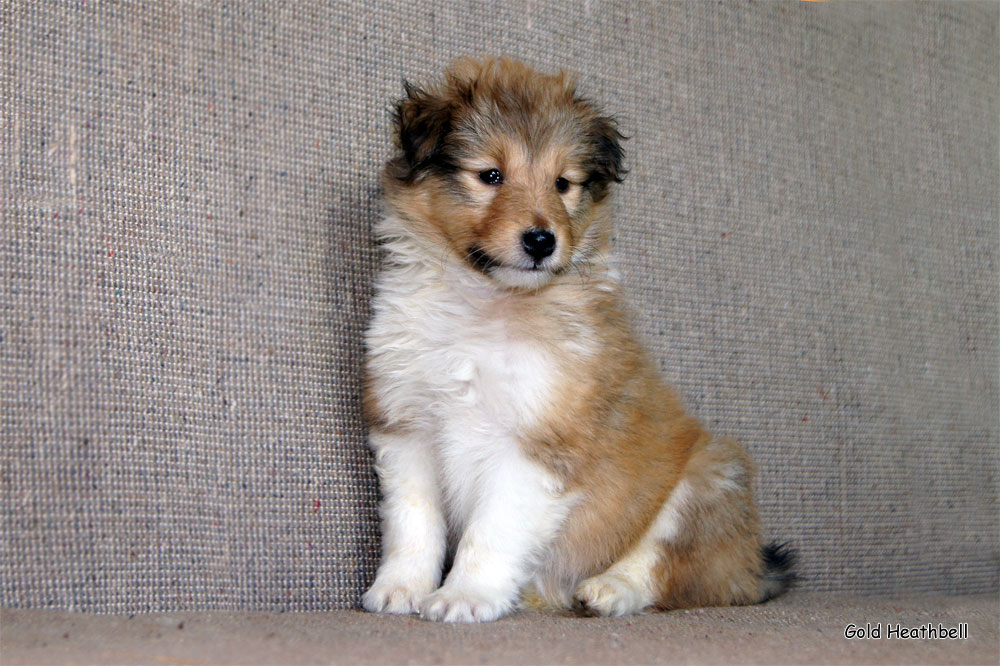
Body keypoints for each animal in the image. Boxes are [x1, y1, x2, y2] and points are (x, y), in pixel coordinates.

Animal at [362, 58, 796, 624]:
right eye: (491, 175)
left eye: (562, 183)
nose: (541, 240)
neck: (487, 304)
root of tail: (752, 563)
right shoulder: (405, 429)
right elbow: (412, 524)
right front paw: (401, 589)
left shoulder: (538, 443)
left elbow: (489, 532)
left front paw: (465, 595)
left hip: (712, 477)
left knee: (669, 569)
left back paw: (607, 589)